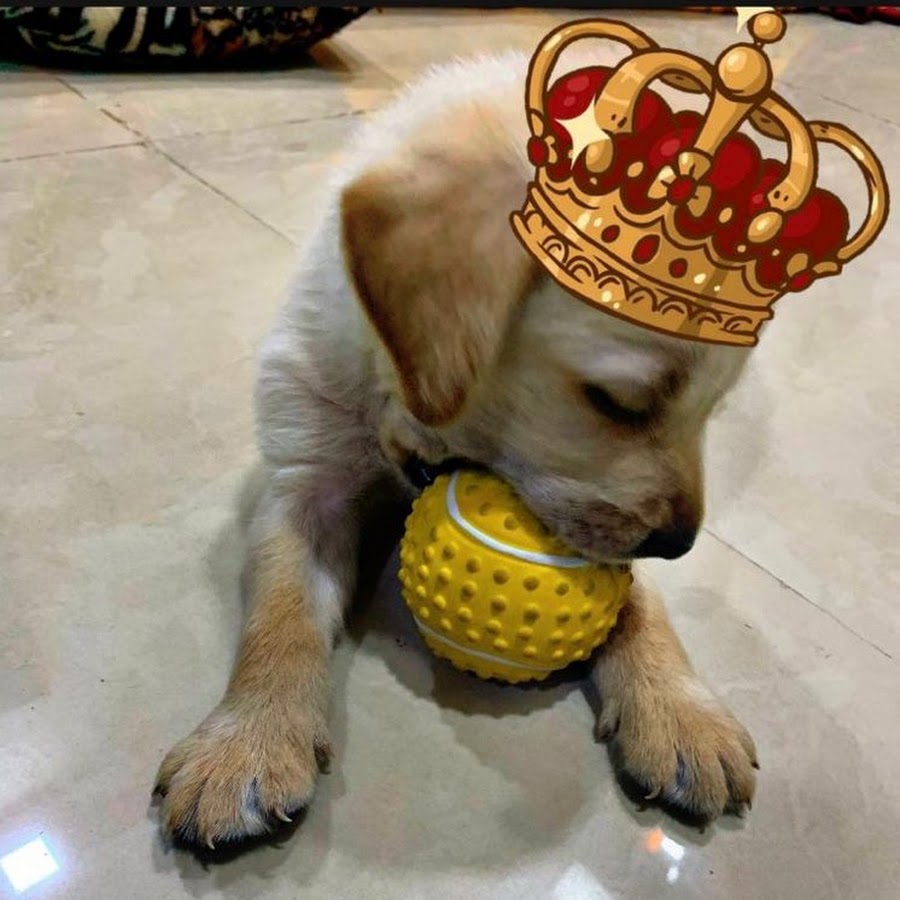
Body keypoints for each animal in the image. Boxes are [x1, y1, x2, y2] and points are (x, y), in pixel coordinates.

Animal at [154, 50, 758, 848]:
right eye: (618, 403)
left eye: (714, 409)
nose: (678, 544)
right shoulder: (303, 471)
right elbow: (280, 613)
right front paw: (248, 740)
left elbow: (639, 602)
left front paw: (680, 707)